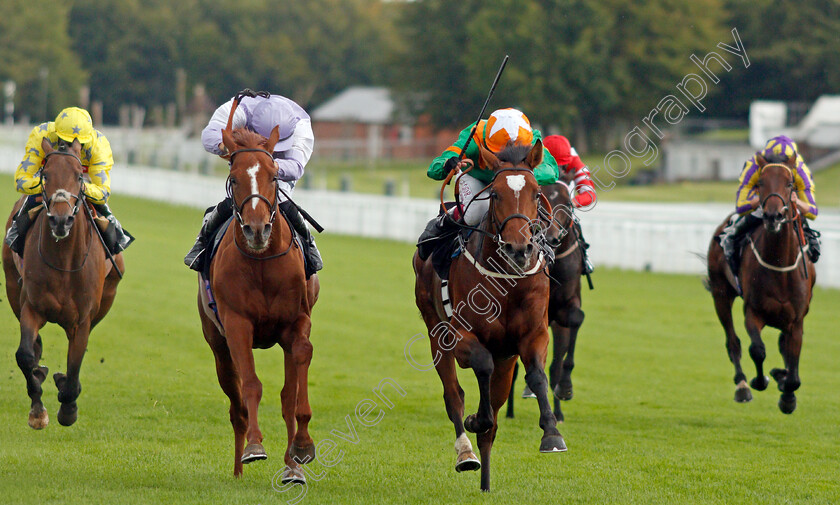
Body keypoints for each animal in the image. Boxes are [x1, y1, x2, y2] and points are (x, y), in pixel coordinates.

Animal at [0, 139, 124, 430]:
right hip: (11, 285)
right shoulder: (31, 306)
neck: (64, 261)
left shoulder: (83, 318)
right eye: (45, 175)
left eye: (79, 176)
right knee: (33, 347)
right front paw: (37, 410)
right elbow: (24, 355)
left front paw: (68, 406)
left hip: (108, 294)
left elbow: (75, 360)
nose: (60, 220)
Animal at [199, 125, 320, 480]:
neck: (263, 261)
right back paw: (239, 467)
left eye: (273, 175)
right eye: (234, 177)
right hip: (217, 345)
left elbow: (298, 370)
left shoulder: (296, 322)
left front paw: (302, 447)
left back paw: (292, 465)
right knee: (236, 405)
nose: (256, 229)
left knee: (286, 396)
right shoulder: (237, 324)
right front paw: (254, 446)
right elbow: (251, 384)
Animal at [412, 140, 564, 490]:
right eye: (495, 194)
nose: (518, 249)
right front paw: (475, 419)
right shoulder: (460, 336)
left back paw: (485, 481)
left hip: (506, 358)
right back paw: (466, 453)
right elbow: (481, 367)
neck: (507, 280)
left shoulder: (532, 336)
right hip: (435, 330)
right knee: (453, 394)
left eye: (537, 193)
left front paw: (552, 434)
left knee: (493, 416)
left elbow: (537, 375)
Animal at [506, 178, 584, 422]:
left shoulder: (565, 309)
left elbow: (576, 319)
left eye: (568, 203)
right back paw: (509, 410)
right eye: (542, 201)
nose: (552, 237)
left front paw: (565, 388)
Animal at [704, 155, 816, 414]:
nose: (773, 216)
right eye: (761, 183)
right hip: (720, 293)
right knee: (733, 342)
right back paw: (742, 385)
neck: (779, 266)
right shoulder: (753, 311)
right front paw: (760, 380)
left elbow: (793, 373)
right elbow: (757, 349)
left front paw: (787, 394)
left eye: (789, 184)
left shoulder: (796, 320)